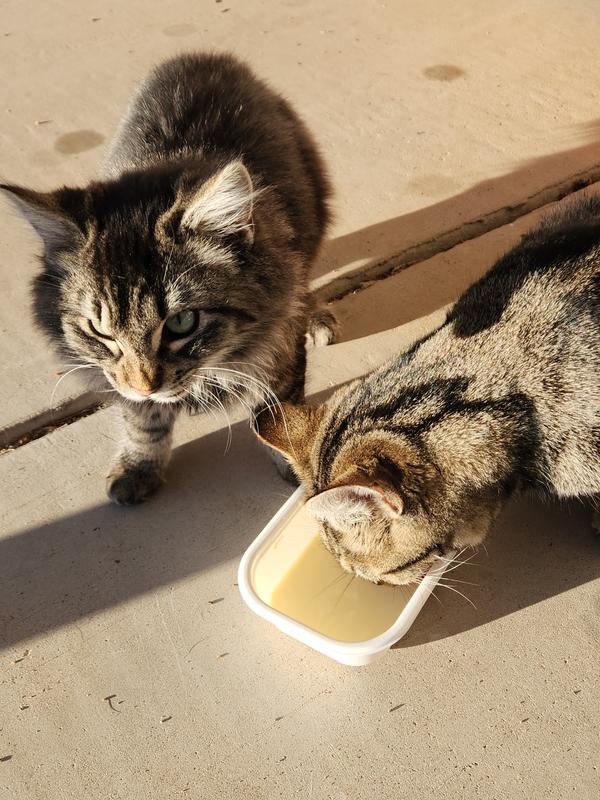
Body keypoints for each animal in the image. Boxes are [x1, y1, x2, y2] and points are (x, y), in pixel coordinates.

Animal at [1, 52, 335, 504]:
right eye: (99, 330)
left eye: (181, 322)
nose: (146, 386)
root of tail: (205, 57)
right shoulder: (120, 380)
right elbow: (142, 423)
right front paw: (139, 467)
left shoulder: (278, 343)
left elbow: (277, 411)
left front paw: (294, 463)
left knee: (307, 276)